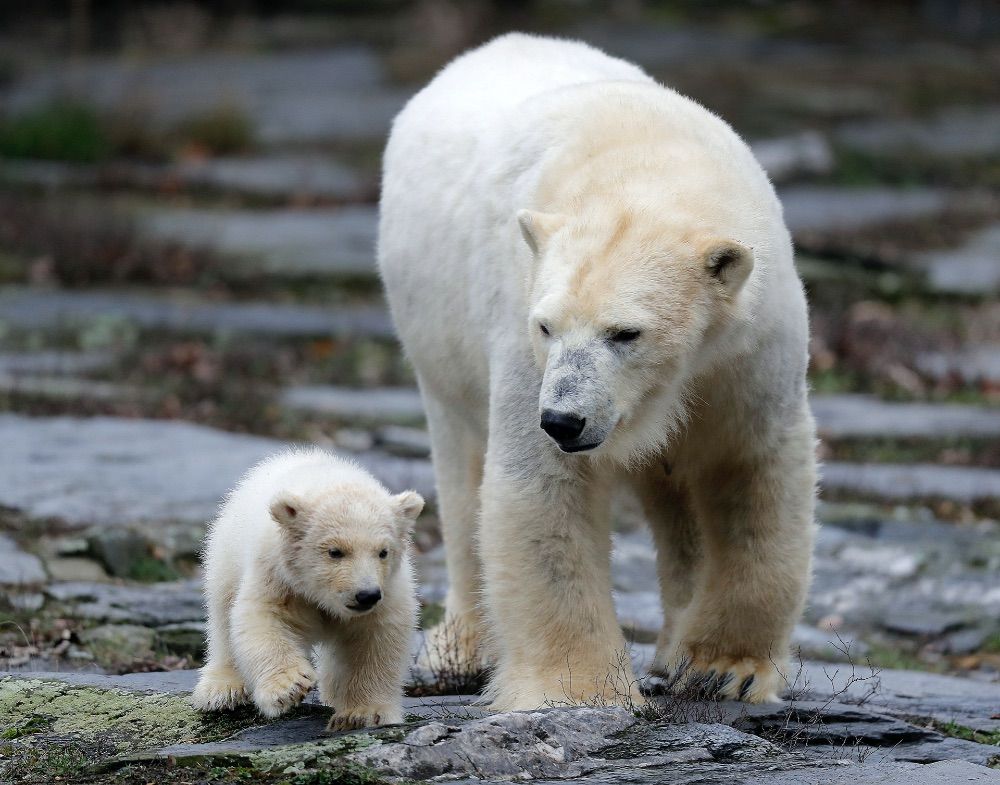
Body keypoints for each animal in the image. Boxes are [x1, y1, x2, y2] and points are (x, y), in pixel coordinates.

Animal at [191, 454, 422, 728]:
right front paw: (288, 687)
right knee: (222, 612)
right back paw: (223, 690)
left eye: (383, 552)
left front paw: (363, 714)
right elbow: (263, 618)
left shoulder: (388, 588)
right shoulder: (279, 575)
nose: (366, 595)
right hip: (227, 551)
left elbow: (376, 639)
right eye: (335, 551)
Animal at [378, 33, 816, 712]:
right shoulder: (519, 323)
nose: (564, 419)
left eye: (625, 333)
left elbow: (750, 471)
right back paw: (461, 650)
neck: (643, 162)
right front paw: (579, 692)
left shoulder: (748, 348)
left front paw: (724, 670)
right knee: (461, 469)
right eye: (547, 326)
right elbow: (544, 492)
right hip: (439, 339)